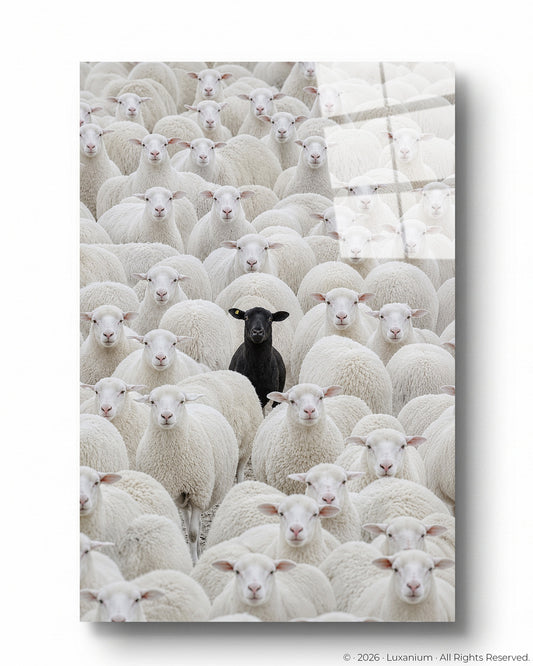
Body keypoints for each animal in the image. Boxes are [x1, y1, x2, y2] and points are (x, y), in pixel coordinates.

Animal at [136, 385, 238, 561]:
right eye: (152, 402)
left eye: (181, 401)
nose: (166, 416)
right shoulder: (173, 493)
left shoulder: (198, 494)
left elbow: (193, 533)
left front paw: (195, 560)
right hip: (181, 498)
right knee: (187, 517)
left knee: (197, 525)